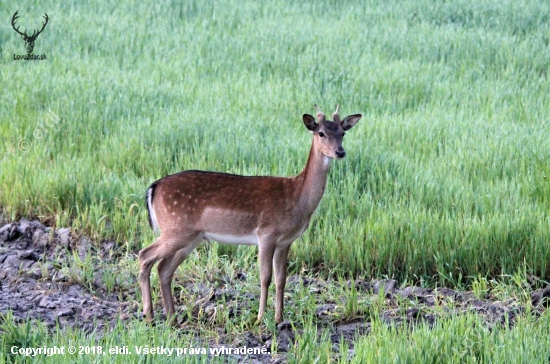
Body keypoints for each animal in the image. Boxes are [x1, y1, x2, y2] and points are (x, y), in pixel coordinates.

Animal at [139, 105, 362, 324]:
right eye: (321, 133)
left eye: (342, 133)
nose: (340, 152)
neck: (297, 197)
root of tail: (153, 187)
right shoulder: (266, 234)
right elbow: (265, 277)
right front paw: (261, 318)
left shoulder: (285, 241)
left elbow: (282, 279)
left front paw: (280, 318)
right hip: (176, 228)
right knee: (145, 255)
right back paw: (149, 315)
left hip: (192, 237)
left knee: (164, 268)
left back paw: (171, 318)